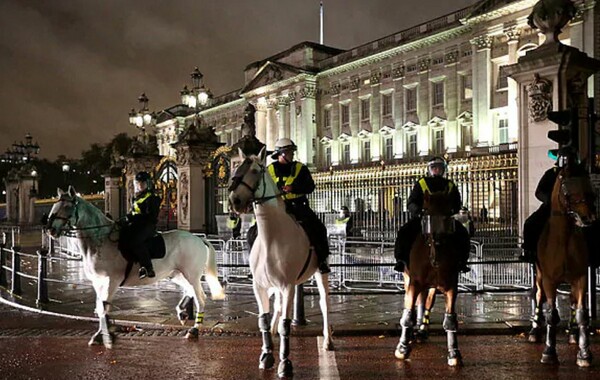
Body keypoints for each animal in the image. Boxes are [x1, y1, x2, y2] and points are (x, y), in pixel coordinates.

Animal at [46, 186, 225, 348]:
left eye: (67, 207)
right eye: (55, 205)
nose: (50, 230)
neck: (101, 241)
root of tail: (199, 238)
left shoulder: (112, 281)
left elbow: (103, 307)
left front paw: (105, 335)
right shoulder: (98, 282)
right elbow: (100, 306)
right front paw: (103, 332)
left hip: (191, 274)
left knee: (200, 298)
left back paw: (194, 330)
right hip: (176, 274)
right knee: (190, 291)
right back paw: (182, 312)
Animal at [229, 148, 332, 378]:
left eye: (256, 170)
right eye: (236, 168)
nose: (234, 200)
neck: (271, 237)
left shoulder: (288, 286)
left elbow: (286, 324)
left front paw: (285, 363)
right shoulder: (259, 286)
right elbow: (263, 319)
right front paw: (267, 354)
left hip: (320, 273)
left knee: (324, 304)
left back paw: (328, 340)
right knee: (275, 307)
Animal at [396, 191, 462, 366]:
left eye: (448, 214)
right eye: (426, 212)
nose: (436, 255)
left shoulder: (451, 286)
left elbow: (450, 319)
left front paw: (454, 352)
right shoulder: (414, 283)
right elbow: (408, 312)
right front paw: (402, 348)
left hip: (432, 286)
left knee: (426, 302)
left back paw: (422, 329)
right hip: (409, 279)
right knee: (412, 302)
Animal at [528, 161, 596, 368]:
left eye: (587, 182)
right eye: (566, 187)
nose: (589, 217)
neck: (564, 239)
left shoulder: (580, 278)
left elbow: (582, 313)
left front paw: (584, 353)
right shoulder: (550, 280)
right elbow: (552, 314)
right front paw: (549, 352)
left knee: (573, 302)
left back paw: (573, 334)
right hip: (539, 275)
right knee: (539, 296)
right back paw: (534, 331)